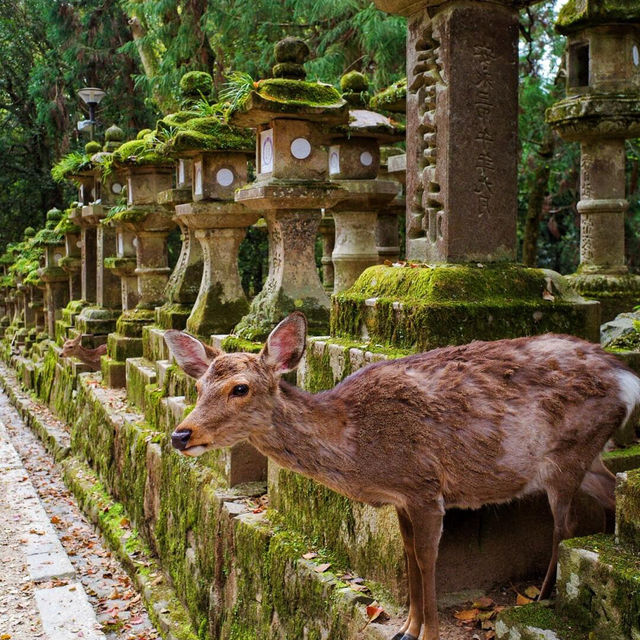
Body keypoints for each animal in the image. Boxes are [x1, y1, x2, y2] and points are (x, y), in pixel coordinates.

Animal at [162, 314, 636, 640]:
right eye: (199, 386)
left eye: (240, 388)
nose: (181, 434)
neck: (357, 445)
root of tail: (627, 378)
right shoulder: (402, 498)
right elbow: (407, 554)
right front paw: (406, 627)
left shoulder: (424, 486)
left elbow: (426, 558)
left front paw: (427, 633)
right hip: (588, 454)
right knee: (608, 492)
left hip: (568, 454)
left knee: (566, 525)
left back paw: (543, 594)